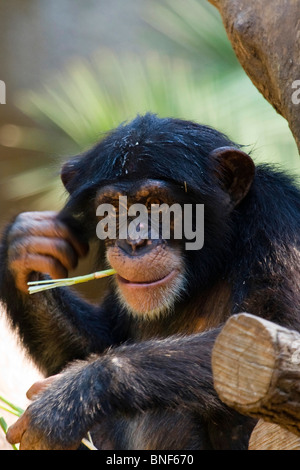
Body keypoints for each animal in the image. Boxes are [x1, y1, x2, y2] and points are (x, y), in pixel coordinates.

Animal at [0, 112, 300, 450]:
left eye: (157, 203)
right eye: (113, 208)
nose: (134, 242)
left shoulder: (278, 223)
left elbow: (272, 336)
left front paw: (72, 395)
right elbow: (90, 345)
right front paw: (25, 247)